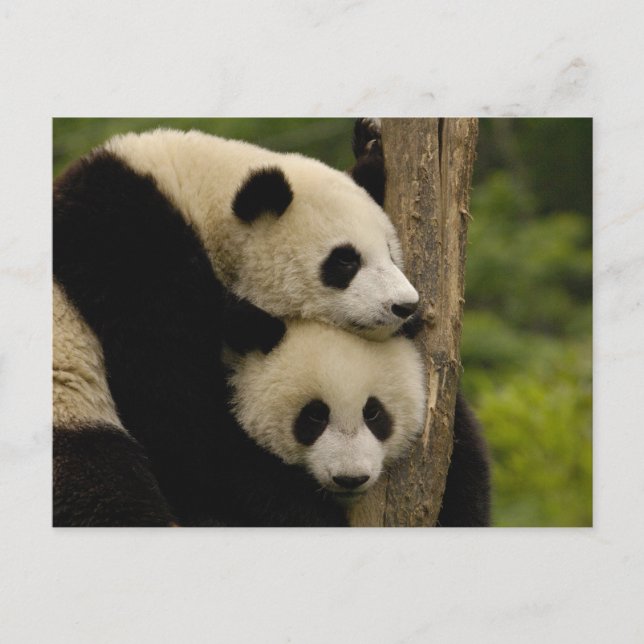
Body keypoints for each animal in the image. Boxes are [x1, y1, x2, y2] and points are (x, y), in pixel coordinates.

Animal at [53, 122, 420, 526]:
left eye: (391, 254)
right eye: (345, 261)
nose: (405, 306)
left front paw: (369, 146)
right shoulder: (131, 259)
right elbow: (180, 414)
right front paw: (306, 507)